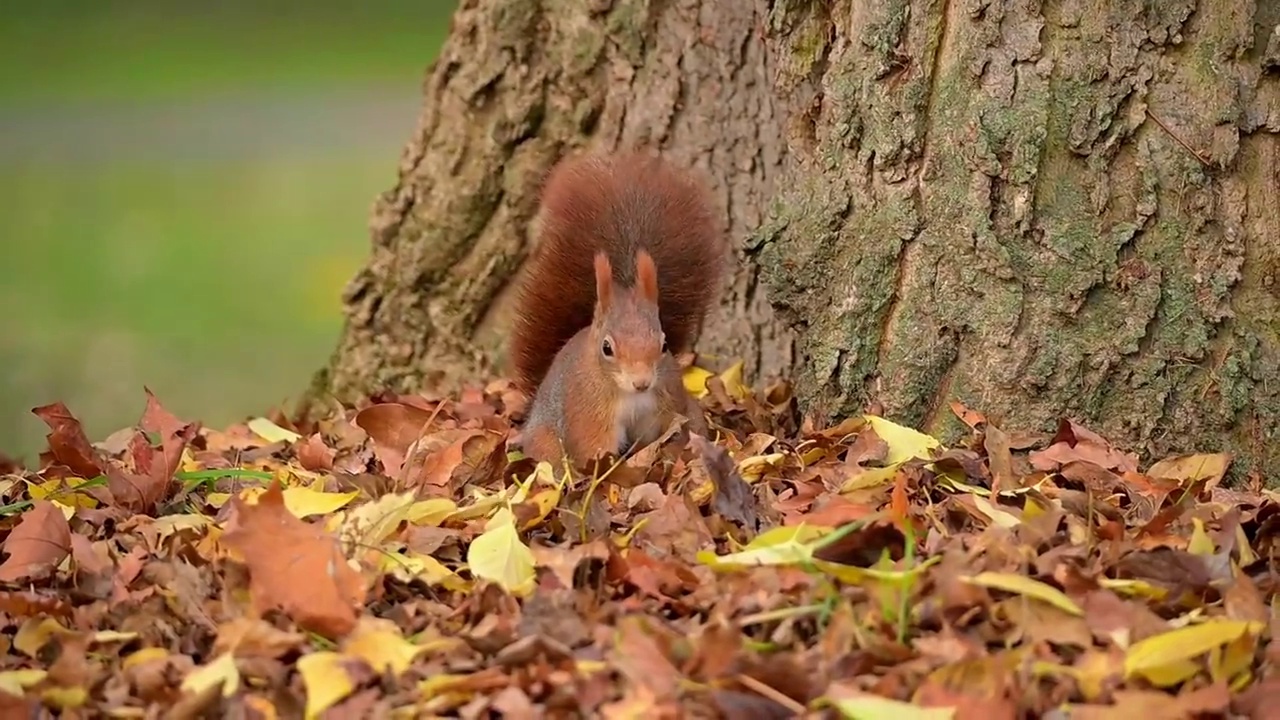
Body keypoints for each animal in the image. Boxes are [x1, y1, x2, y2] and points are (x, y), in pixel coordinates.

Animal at [509, 148, 732, 468]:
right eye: (607, 348)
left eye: (664, 344)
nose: (642, 383)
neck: (629, 396)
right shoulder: (587, 414)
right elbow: (594, 447)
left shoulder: (668, 403)